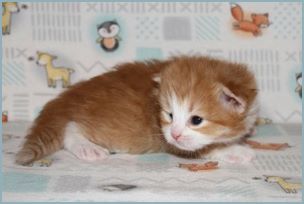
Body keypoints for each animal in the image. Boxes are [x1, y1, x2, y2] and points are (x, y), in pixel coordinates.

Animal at [15, 56, 258, 166]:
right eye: (170, 115)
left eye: (196, 120)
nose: (175, 134)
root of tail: (67, 97)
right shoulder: (170, 142)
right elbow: (205, 148)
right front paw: (236, 151)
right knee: (71, 128)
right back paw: (87, 147)